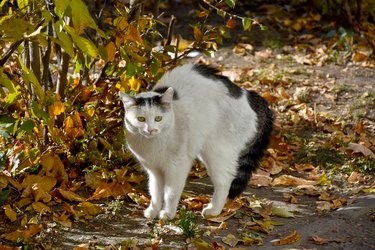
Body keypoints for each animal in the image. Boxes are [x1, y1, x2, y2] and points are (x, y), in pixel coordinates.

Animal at [120, 63, 274, 220]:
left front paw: (167, 213)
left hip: (216, 152)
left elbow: (170, 193)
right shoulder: (154, 170)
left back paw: (214, 210)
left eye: (158, 118)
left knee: (225, 182)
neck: (153, 144)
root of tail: (249, 94)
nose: (150, 130)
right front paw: (153, 210)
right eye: (141, 119)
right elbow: (155, 192)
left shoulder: (177, 166)